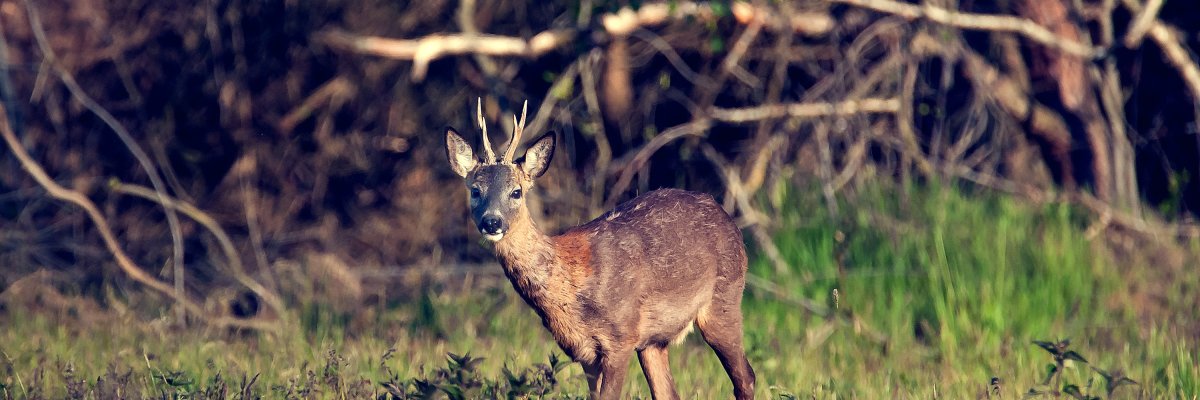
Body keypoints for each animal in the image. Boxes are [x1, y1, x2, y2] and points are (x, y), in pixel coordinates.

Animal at [443, 99, 755, 400]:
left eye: (516, 192)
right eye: (475, 191)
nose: (492, 221)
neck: (572, 284)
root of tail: (728, 218)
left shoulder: (621, 338)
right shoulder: (584, 351)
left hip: (724, 301)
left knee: (745, 377)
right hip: (654, 342)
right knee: (669, 392)